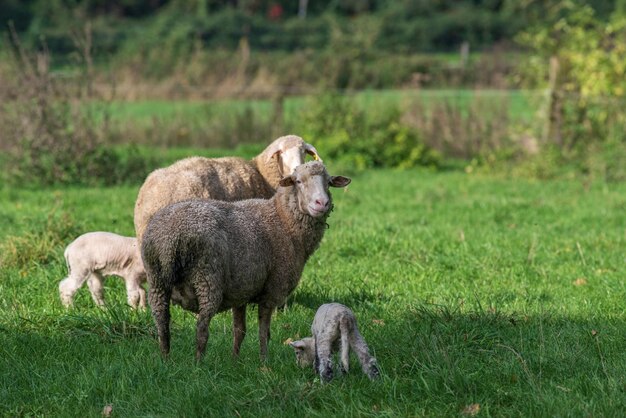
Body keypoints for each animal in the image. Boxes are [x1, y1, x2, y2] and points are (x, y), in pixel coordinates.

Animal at [141, 162, 352, 360]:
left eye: (329, 182)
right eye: (298, 181)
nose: (322, 203)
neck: (283, 221)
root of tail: (171, 238)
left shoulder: (240, 291)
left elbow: (239, 331)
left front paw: (235, 360)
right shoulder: (272, 290)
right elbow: (264, 333)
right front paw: (264, 362)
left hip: (157, 280)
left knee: (162, 324)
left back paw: (166, 359)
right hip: (207, 279)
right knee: (201, 329)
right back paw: (198, 364)